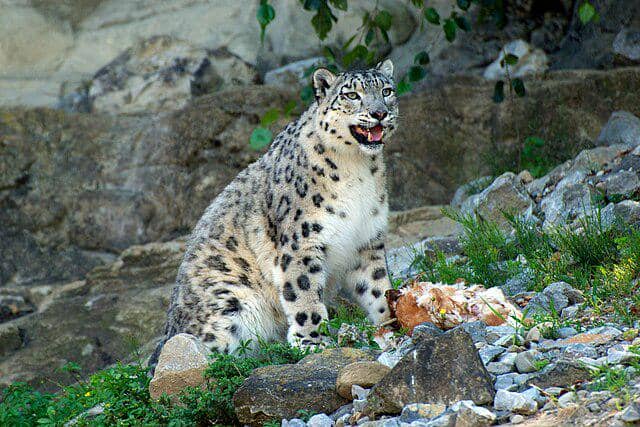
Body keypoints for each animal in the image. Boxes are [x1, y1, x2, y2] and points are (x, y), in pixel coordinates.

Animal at [152, 60, 399, 362]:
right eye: (351, 95)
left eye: (386, 90)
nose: (379, 113)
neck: (358, 169)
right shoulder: (302, 241)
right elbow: (304, 291)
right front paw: (312, 341)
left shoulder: (367, 240)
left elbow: (377, 285)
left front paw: (391, 325)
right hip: (228, 305)